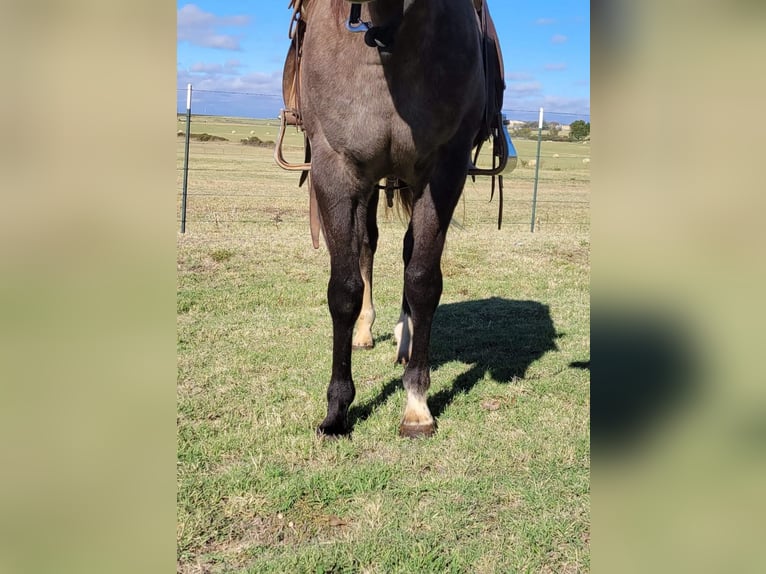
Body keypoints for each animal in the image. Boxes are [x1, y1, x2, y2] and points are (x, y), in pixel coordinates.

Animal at [280, 0, 512, 438]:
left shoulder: (443, 171)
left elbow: (423, 281)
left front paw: (417, 404)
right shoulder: (334, 170)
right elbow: (344, 289)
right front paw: (337, 411)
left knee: (407, 251)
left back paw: (405, 338)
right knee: (367, 243)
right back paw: (365, 331)